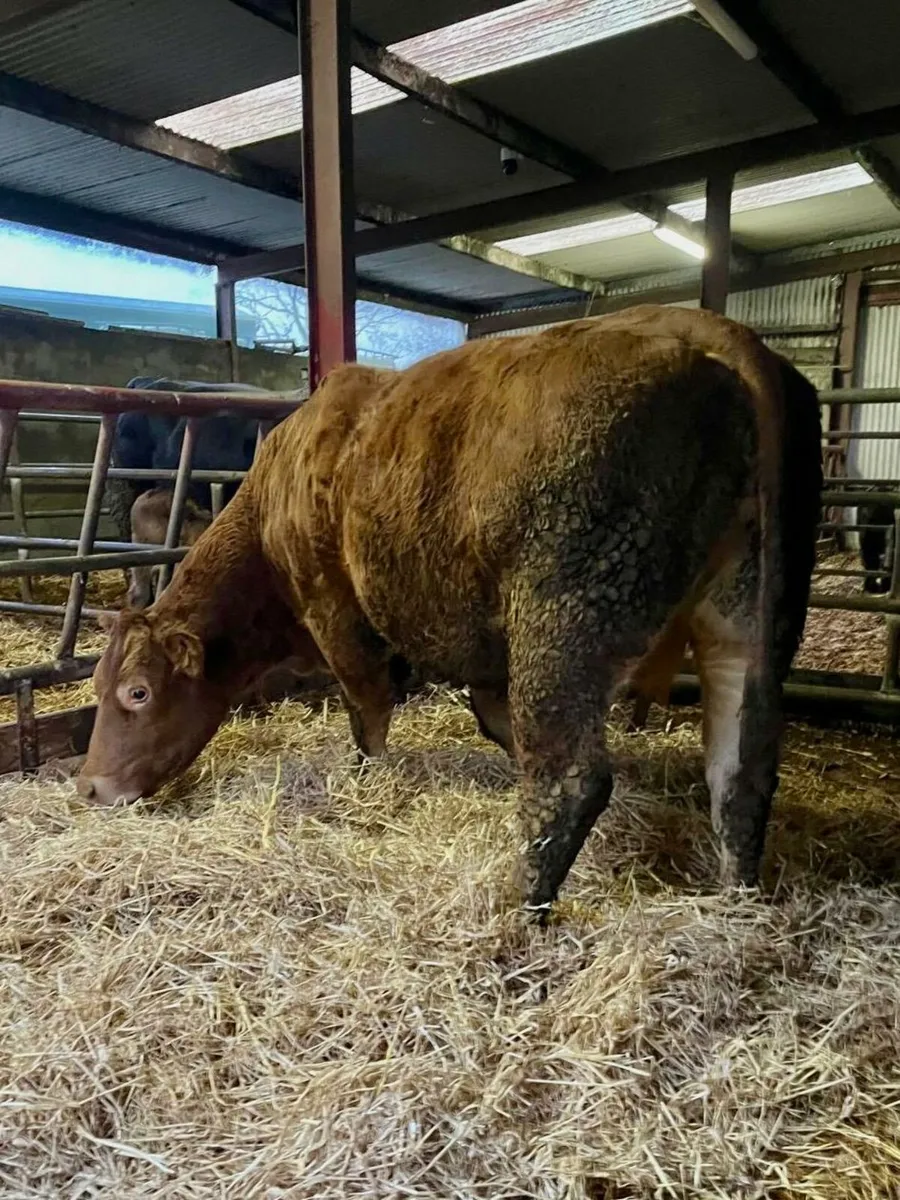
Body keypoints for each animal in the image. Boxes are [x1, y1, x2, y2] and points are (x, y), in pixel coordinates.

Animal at [77, 306, 823, 917]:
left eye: (137, 692)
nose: (87, 788)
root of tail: (713, 333)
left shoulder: (336, 615)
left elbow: (369, 712)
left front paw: (369, 781)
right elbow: (493, 722)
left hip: (567, 618)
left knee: (571, 779)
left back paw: (515, 910)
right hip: (744, 618)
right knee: (740, 768)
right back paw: (734, 904)